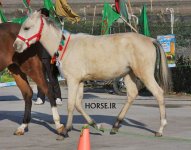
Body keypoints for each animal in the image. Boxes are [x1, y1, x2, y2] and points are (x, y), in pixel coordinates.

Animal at [14, 11, 171, 137]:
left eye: (26, 27)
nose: (16, 46)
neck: (65, 46)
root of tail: (150, 40)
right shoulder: (80, 81)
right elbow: (78, 104)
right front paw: (96, 125)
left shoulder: (72, 80)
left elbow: (71, 104)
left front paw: (65, 131)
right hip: (129, 75)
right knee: (132, 95)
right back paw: (115, 126)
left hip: (144, 74)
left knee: (158, 93)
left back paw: (160, 129)